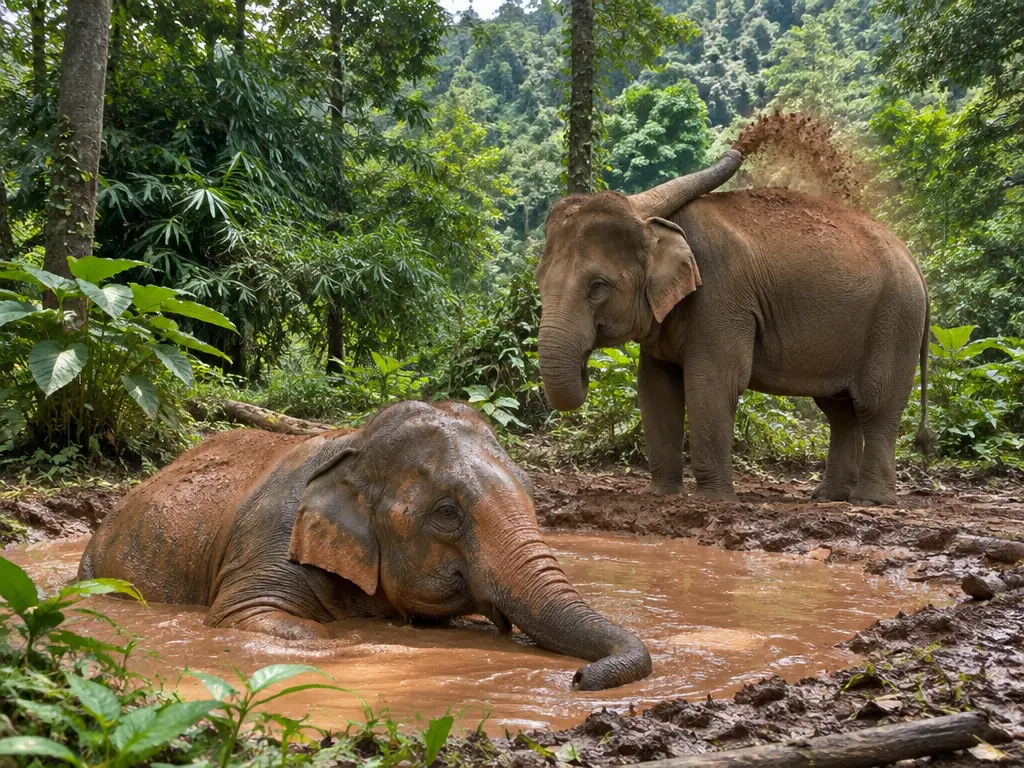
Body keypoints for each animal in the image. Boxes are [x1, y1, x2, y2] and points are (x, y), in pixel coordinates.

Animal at [79, 400, 652, 690]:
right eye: (447, 514)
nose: (578, 678)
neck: (352, 442)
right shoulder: (270, 537)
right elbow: (244, 617)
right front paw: (365, 642)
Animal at [535, 150, 932, 506]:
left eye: (597, 287)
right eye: (538, 282)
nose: (585, 367)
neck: (656, 221)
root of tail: (913, 259)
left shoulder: (722, 299)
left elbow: (711, 382)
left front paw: (713, 500)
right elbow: (655, 388)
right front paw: (660, 494)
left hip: (895, 318)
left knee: (875, 404)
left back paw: (870, 501)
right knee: (839, 410)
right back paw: (829, 497)